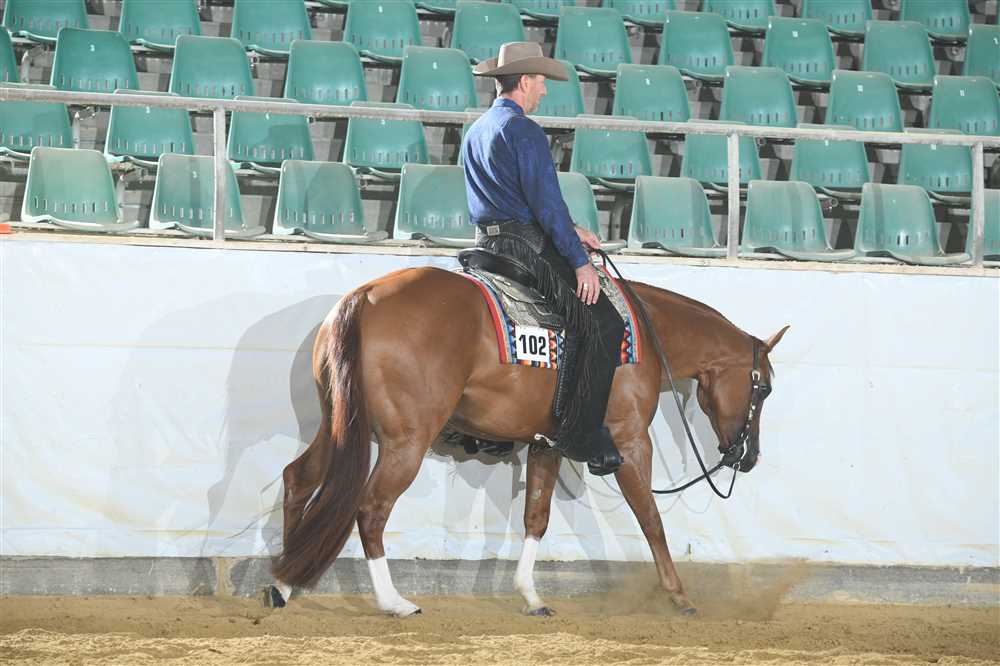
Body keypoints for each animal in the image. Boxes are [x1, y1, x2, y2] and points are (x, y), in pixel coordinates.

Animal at [268, 264, 789, 616]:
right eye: (763, 388)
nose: (748, 456)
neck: (646, 331)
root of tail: (364, 297)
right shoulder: (630, 441)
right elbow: (651, 519)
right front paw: (679, 595)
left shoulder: (548, 445)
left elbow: (536, 516)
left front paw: (531, 595)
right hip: (405, 442)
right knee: (371, 509)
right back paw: (393, 601)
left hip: (337, 422)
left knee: (299, 478)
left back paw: (284, 582)